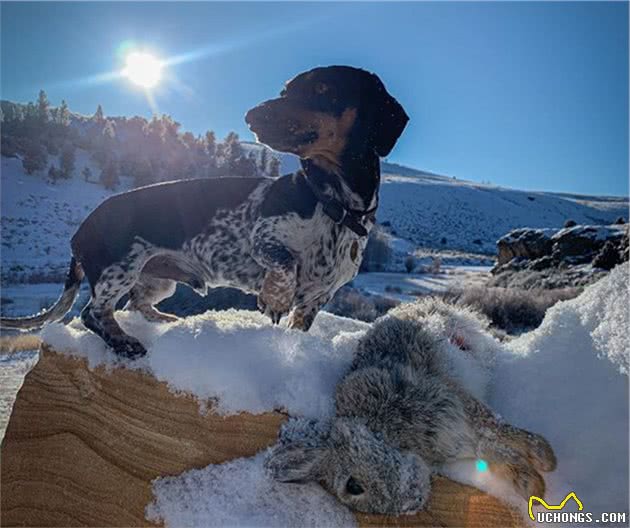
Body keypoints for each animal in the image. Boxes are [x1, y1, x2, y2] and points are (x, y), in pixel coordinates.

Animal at [1, 65, 410, 354]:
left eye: (323, 88)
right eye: (285, 89)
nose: (251, 115)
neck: (334, 202)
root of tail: (79, 231)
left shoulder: (317, 299)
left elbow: (299, 322)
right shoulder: (263, 238)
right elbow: (285, 262)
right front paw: (274, 296)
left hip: (156, 280)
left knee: (136, 305)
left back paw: (163, 319)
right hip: (118, 269)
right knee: (94, 313)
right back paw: (124, 342)